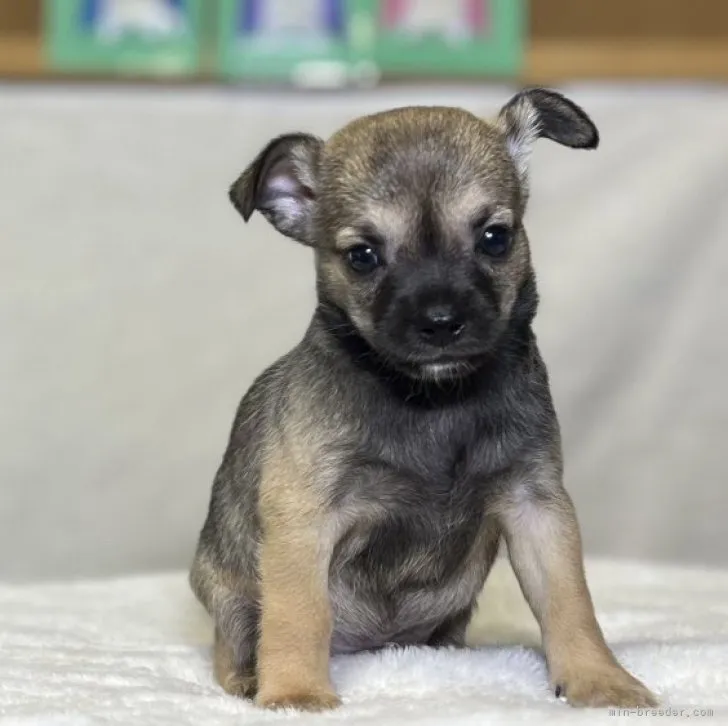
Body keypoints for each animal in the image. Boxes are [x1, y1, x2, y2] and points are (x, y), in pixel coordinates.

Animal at [191, 88, 656, 712]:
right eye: (362, 256)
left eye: (495, 238)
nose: (440, 321)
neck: (435, 401)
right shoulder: (305, 521)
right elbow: (298, 614)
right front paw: (295, 691)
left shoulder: (536, 508)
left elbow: (570, 602)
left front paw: (599, 679)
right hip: (232, 597)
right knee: (236, 643)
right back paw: (250, 678)